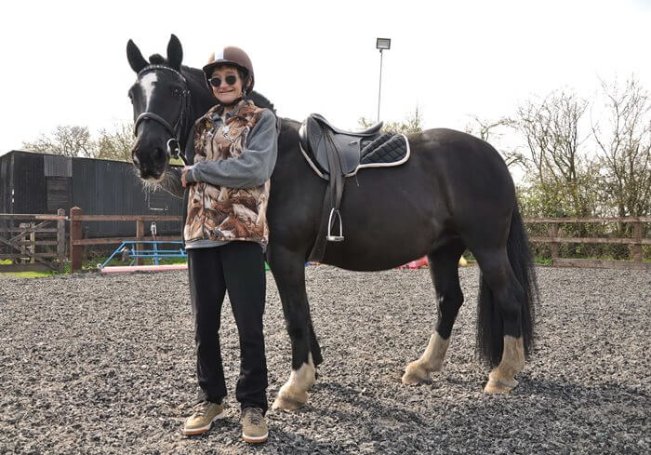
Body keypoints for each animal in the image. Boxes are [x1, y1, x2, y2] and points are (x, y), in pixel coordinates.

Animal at [127, 35, 540, 412]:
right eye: (133, 93)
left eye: (175, 90)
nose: (147, 156)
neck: (274, 156)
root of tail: (493, 156)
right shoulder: (286, 259)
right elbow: (303, 315)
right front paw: (311, 374)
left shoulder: (285, 255)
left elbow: (295, 316)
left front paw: (294, 388)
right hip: (443, 249)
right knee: (449, 300)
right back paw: (423, 367)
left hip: (487, 246)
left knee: (510, 296)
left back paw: (503, 374)